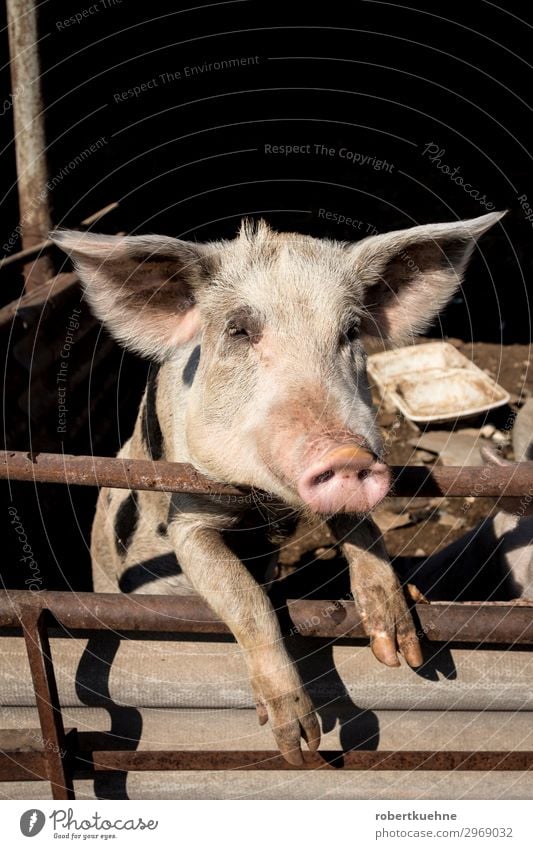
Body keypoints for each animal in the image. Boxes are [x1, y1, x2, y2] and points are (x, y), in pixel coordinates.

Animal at [53, 210, 502, 760]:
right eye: (239, 329)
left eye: (351, 330)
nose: (346, 453)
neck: (262, 504)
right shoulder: (189, 514)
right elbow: (245, 597)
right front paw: (301, 745)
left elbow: (361, 528)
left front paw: (401, 652)